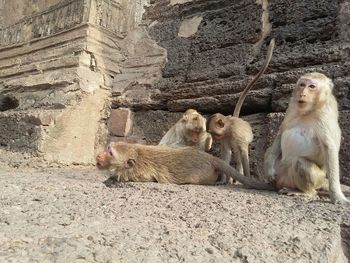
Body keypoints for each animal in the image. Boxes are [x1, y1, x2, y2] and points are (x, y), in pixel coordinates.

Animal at [95, 142, 276, 192]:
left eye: (110, 153)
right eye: (108, 148)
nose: (98, 156)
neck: (137, 154)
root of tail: (210, 158)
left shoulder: (139, 172)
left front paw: (113, 178)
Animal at [206, 38, 274, 184]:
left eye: (213, 133)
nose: (213, 138)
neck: (228, 128)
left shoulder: (235, 134)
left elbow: (243, 153)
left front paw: (247, 178)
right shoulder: (225, 137)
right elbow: (226, 154)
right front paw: (222, 180)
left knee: (239, 155)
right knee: (235, 155)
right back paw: (231, 180)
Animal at [264, 72, 348, 206]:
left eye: (312, 86)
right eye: (302, 85)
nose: (302, 93)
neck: (308, 111)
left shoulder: (325, 116)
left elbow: (329, 148)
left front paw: (337, 195)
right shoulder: (291, 108)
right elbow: (281, 134)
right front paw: (269, 168)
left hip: (319, 179)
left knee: (300, 163)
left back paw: (306, 192)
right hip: (281, 176)